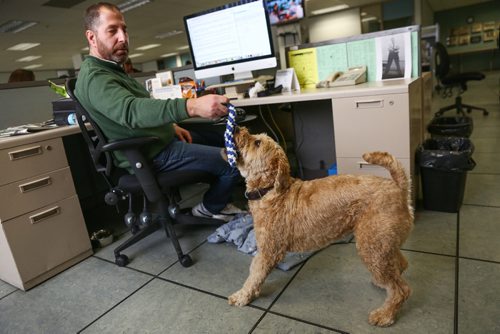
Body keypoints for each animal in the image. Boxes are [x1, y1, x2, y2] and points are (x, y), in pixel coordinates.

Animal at [227, 127, 414, 326]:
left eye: (257, 142)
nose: (237, 127)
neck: (270, 190)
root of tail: (400, 187)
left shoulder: (268, 251)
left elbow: (254, 275)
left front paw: (242, 296)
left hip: (371, 244)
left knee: (401, 289)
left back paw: (385, 314)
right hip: (382, 242)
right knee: (401, 264)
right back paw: (383, 284)